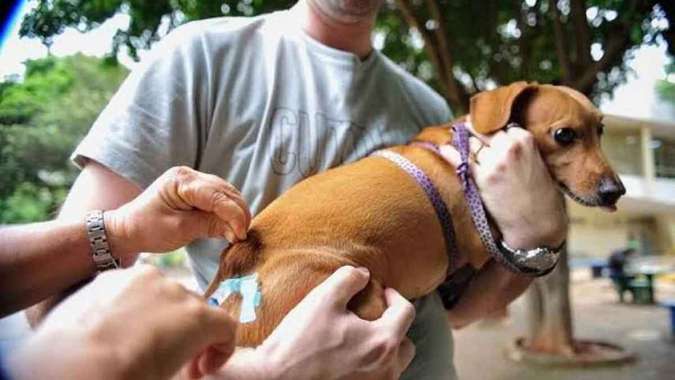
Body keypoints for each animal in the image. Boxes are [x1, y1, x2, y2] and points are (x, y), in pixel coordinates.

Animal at [203, 81, 624, 346]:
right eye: (565, 135)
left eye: (601, 130)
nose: (615, 191)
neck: (466, 149)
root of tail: (239, 261)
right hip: (360, 291)